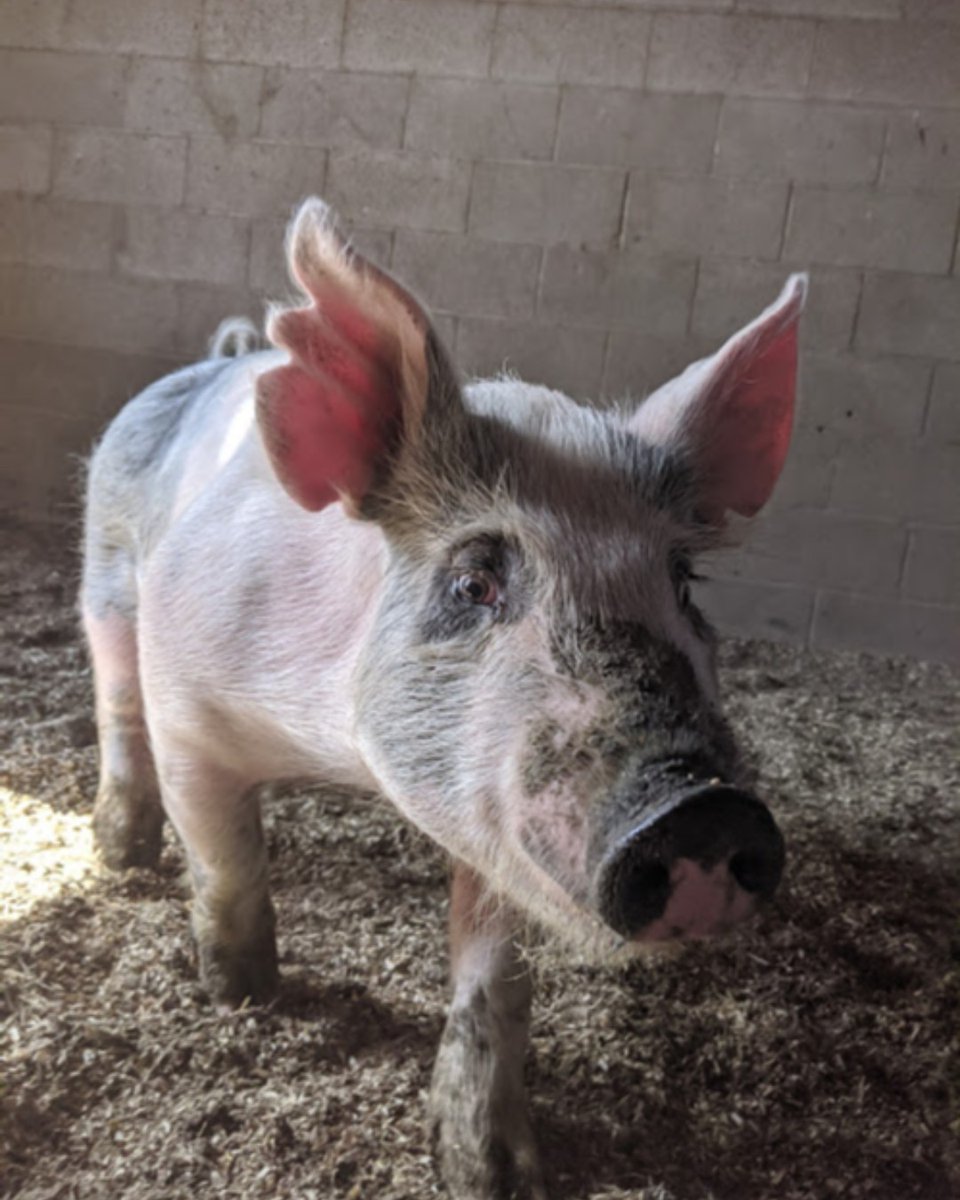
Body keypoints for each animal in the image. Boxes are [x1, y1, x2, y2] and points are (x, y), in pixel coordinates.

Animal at [81, 196, 805, 1200]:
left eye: (683, 583)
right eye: (472, 581)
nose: (702, 810)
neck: (340, 755)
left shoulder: (496, 816)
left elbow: (492, 983)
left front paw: (487, 1171)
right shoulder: (188, 698)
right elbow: (225, 860)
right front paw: (242, 995)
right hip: (106, 570)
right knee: (113, 700)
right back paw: (121, 851)